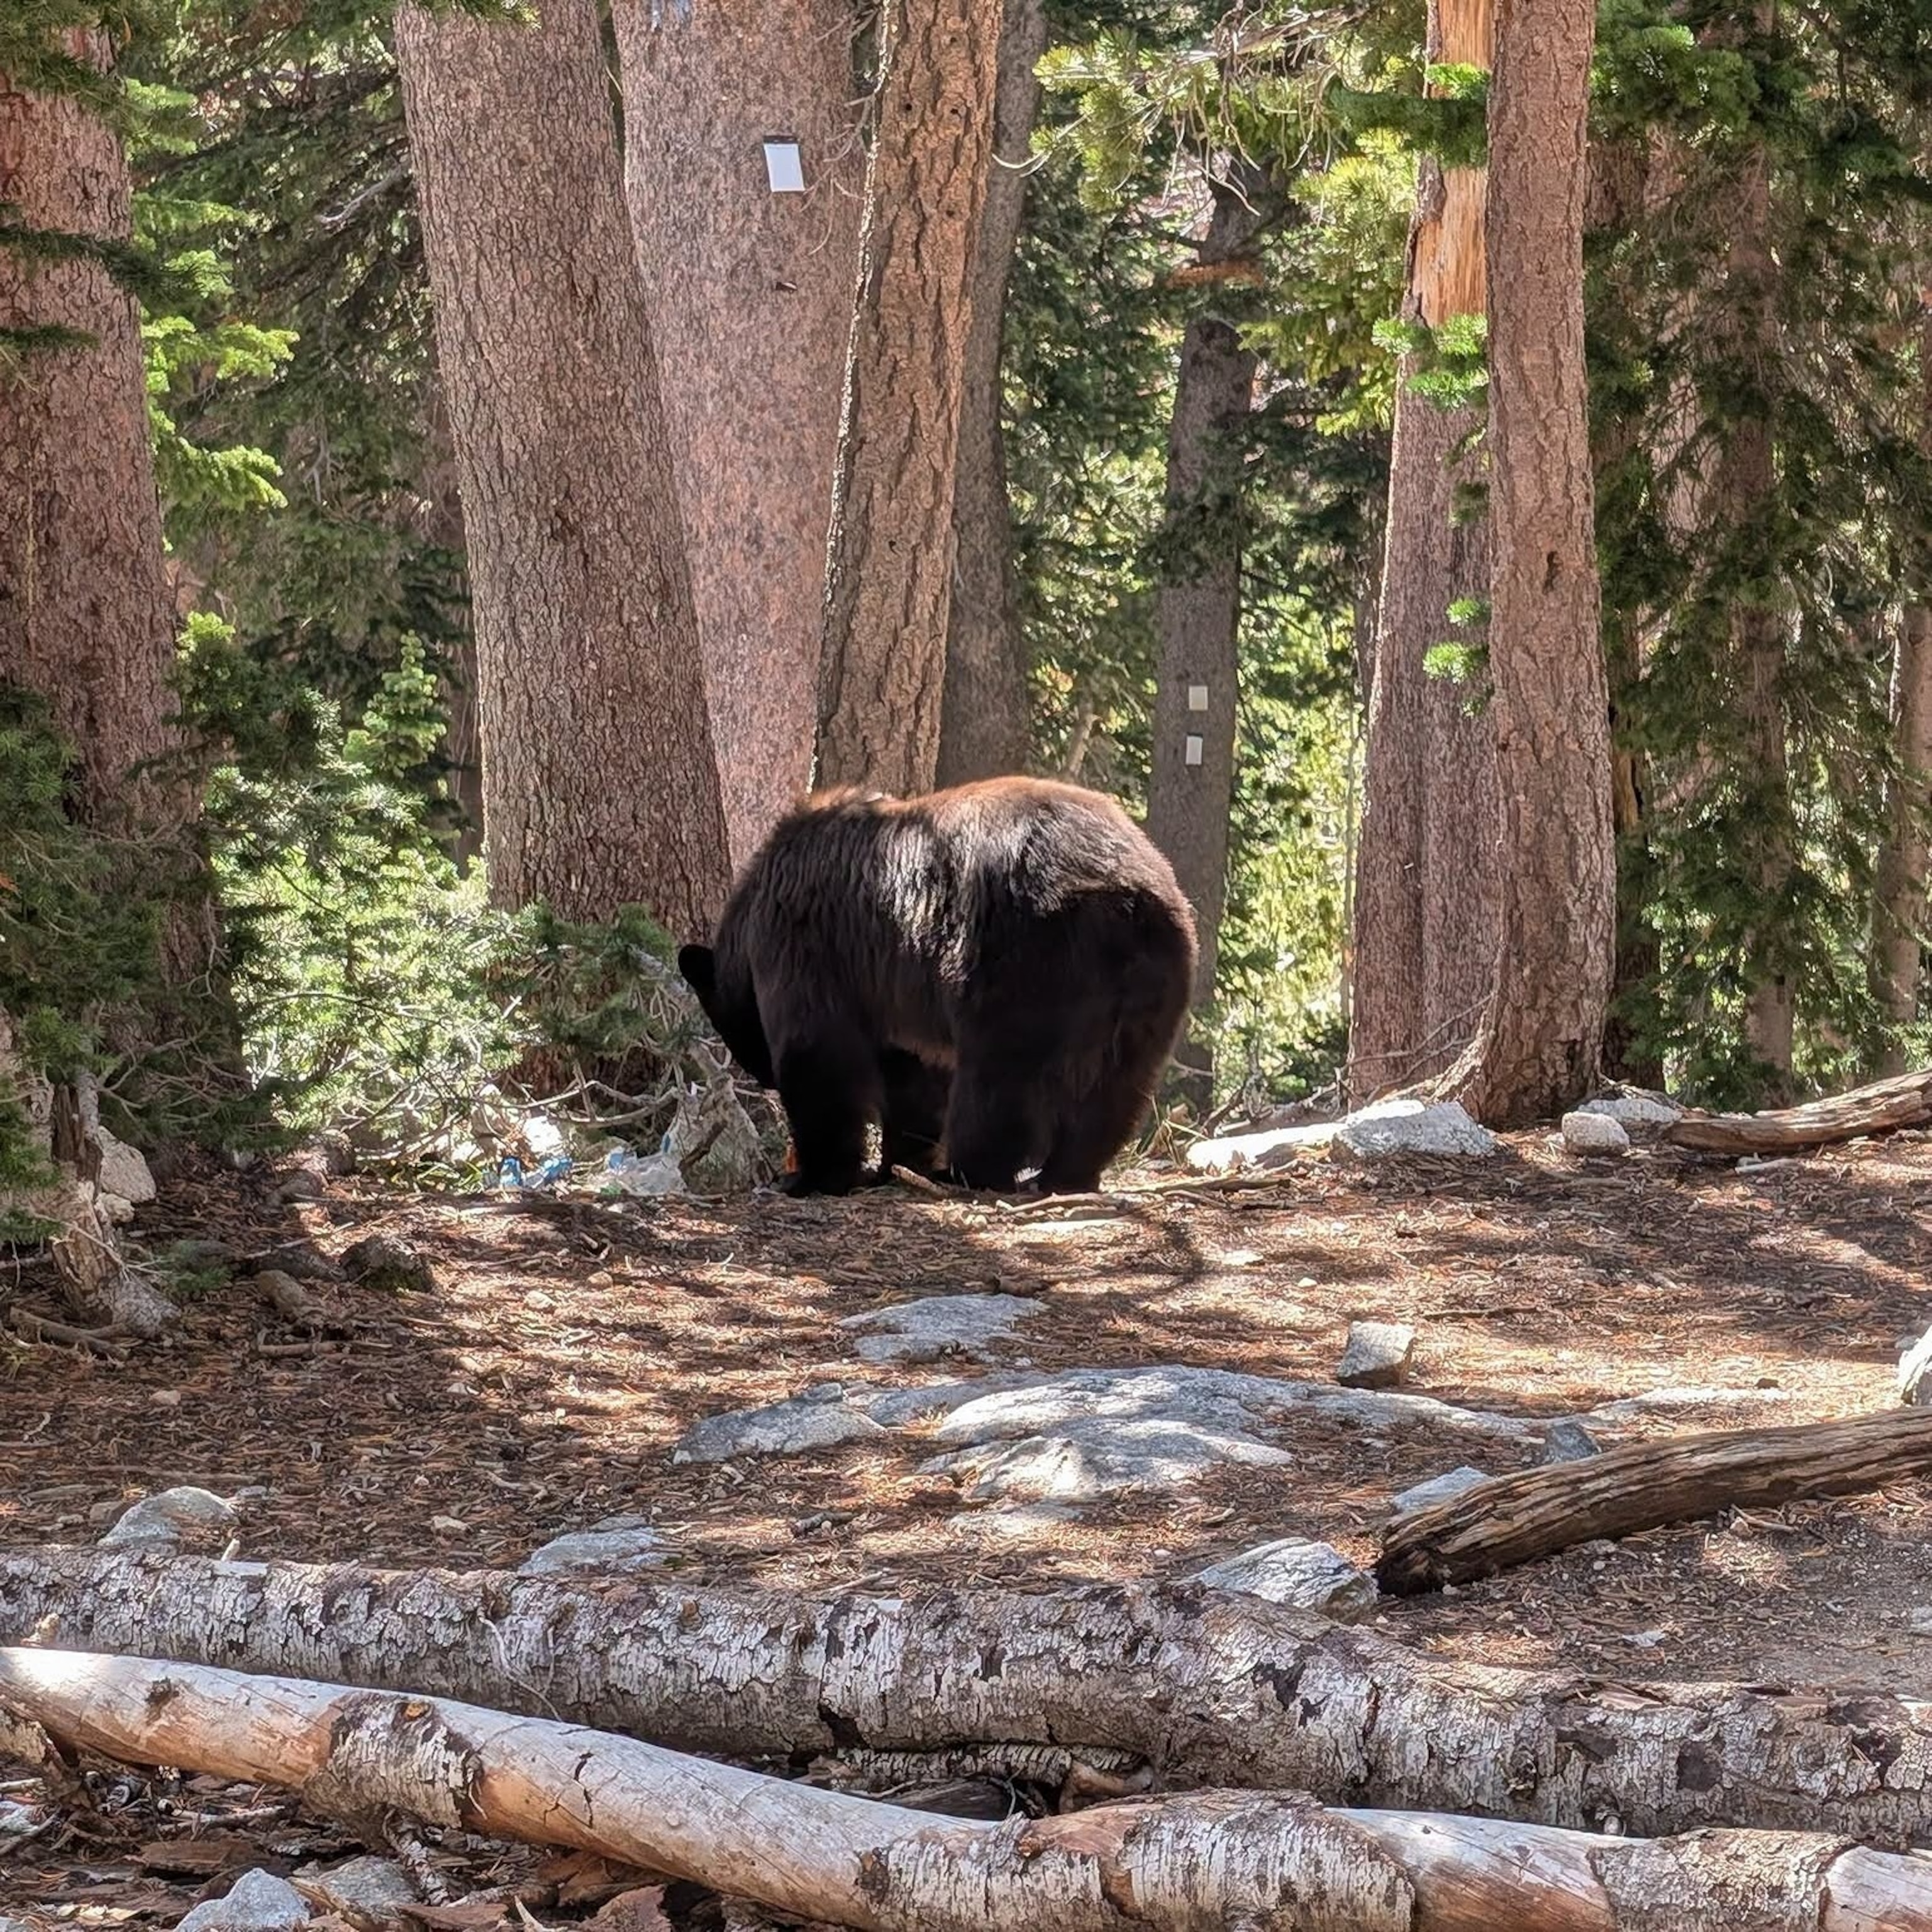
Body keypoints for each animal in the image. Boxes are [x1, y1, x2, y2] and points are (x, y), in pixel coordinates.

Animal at [678, 776, 1197, 1197]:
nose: (763, 1077)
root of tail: (1124, 894)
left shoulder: (805, 946)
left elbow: (818, 1055)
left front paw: (813, 1175)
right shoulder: (892, 996)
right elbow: (912, 1076)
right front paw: (896, 1163)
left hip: (1021, 959)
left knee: (999, 1078)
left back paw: (969, 1171)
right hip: (1156, 980)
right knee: (1117, 1085)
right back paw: (1068, 1173)